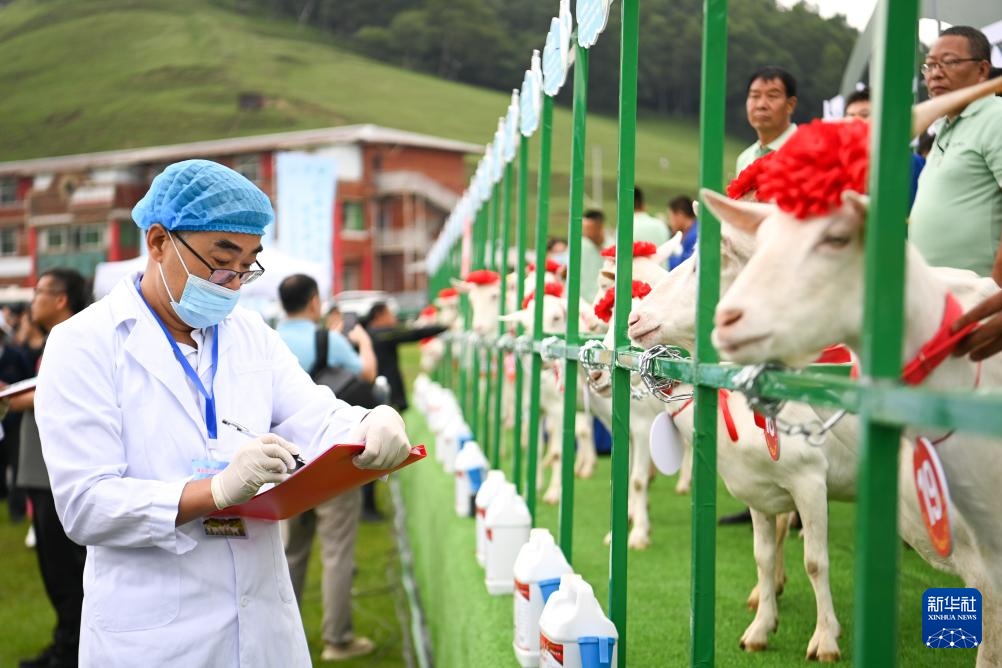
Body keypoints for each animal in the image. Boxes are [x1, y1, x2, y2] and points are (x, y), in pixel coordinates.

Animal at [705, 188, 1002, 668]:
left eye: (837, 238)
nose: (727, 319)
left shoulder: (810, 478)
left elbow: (815, 560)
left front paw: (824, 639)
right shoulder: (762, 488)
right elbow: (764, 551)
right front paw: (761, 625)